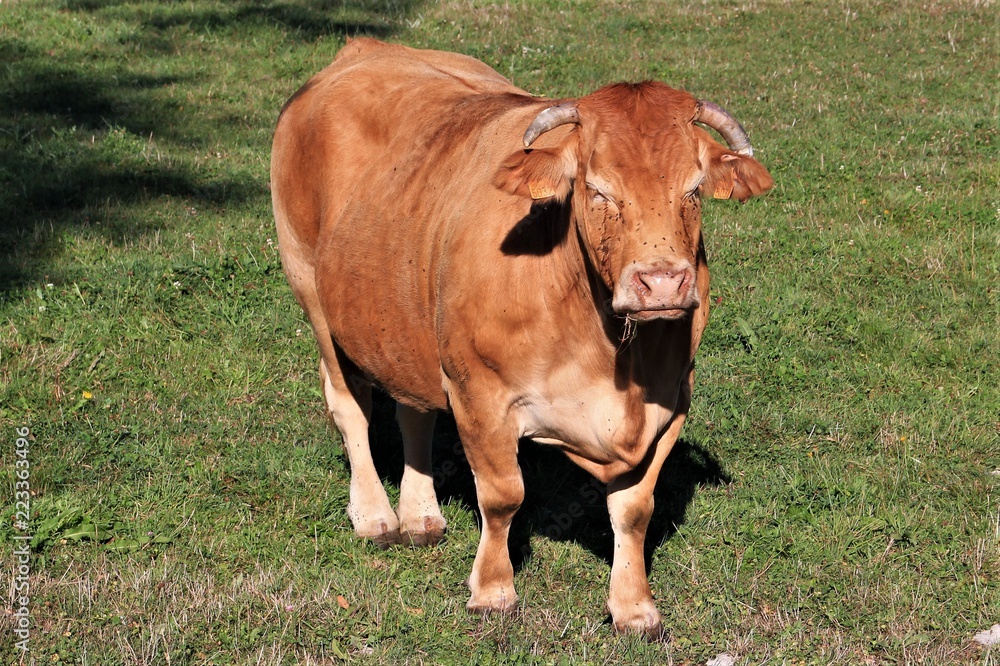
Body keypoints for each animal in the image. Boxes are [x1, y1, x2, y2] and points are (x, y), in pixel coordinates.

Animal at [271, 37, 773, 636]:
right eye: (596, 189)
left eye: (693, 189)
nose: (661, 283)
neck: (612, 354)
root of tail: (364, 50)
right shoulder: (480, 392)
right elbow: (503, 496)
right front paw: (492, 590)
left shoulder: (671, 402)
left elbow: (634, 509)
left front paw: (633, 606)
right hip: (310, 290)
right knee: (350, 408)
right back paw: (375, 515)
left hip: (407, 324)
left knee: (414, 411)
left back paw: (420, 514)